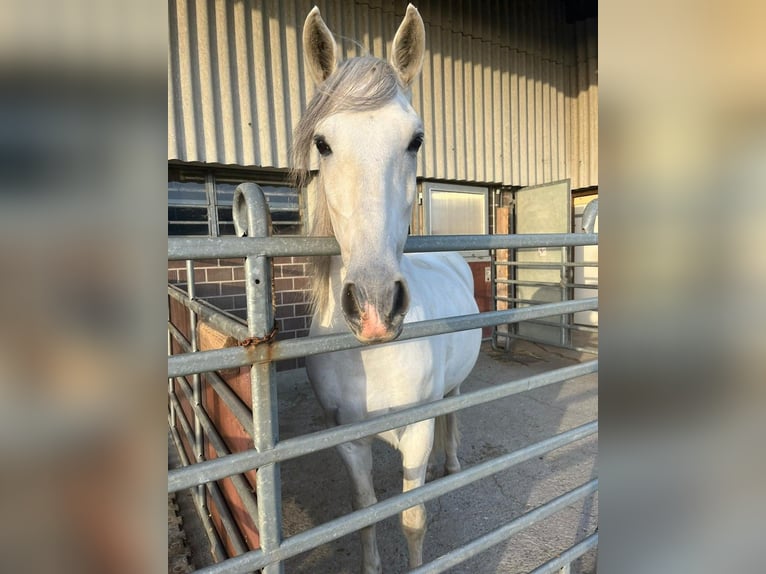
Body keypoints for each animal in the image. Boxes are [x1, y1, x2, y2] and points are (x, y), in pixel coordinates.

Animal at [296, 6, 480, 572]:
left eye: (415, 140)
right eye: (323, 143)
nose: (376, 307)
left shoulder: (416, 434)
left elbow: (412, 517)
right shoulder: (348, 441)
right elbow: (365, 512)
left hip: (451, 394)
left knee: (452, 411)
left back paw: (452, 462)